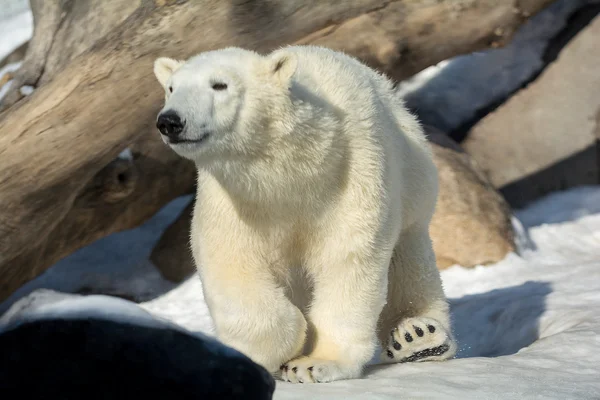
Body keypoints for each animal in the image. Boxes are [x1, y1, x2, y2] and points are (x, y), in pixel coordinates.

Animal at [152, 45, 458, 382]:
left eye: (220, 85)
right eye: (171, 88)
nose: (170, 121)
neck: (295, 172)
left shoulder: (352, 177)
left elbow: (347, 260)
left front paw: (314, 363)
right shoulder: (232, 201)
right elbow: (230, 261)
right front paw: (279, 346)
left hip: (413, 179)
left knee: (409, 262)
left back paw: (419, 336)